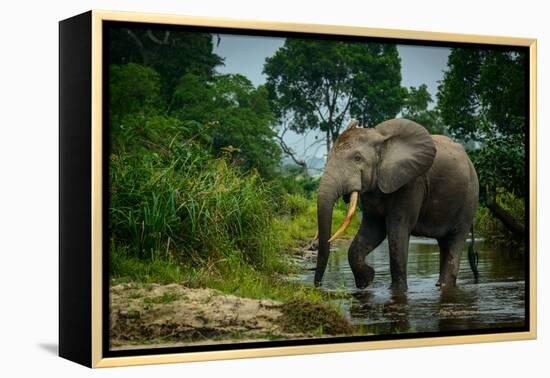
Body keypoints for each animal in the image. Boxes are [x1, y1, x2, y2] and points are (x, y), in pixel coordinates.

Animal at [316, 118, 480, 290]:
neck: (381, 139)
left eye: (357, 158)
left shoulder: (411, 183)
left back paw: (444, 286)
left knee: (455, 239)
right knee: (445, 243)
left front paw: (397, 290)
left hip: (470, 197)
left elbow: (397, 230)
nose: (318, 286)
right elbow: (372, 230)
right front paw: (366, 280)